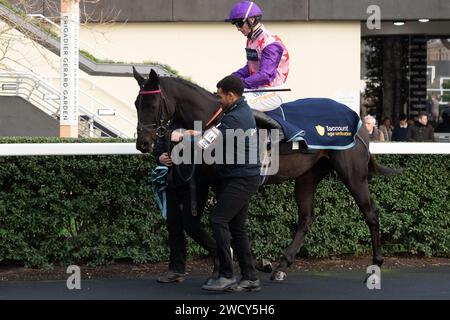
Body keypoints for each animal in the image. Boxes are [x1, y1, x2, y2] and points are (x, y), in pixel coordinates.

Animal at [133, 67, 400, 280]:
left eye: (152, 105)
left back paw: (376, 264)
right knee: (306, 217)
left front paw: (247, 262)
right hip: (308, 176)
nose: (143, 143)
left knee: (371, 212)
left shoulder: (226, 183)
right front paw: (240, 262)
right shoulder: (208, 182)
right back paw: (282, 265)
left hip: (353, 174)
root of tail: (358, 121)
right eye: (137, 104)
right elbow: (204, 223)